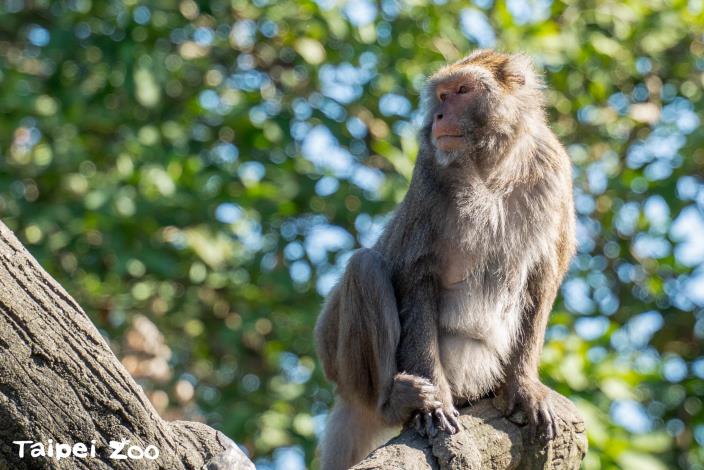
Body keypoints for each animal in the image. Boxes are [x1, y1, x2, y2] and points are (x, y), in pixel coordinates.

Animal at [316, 49, 576, 468]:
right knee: (365, 268)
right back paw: (394, 401)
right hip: (337, 359)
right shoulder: (427, 173)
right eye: (441, 95)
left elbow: (544, 276)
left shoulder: (555, 172)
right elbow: (416, 277)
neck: (493, 166)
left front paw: (524, 385)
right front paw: (433, 404)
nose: (438, 116)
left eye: (463, 90)